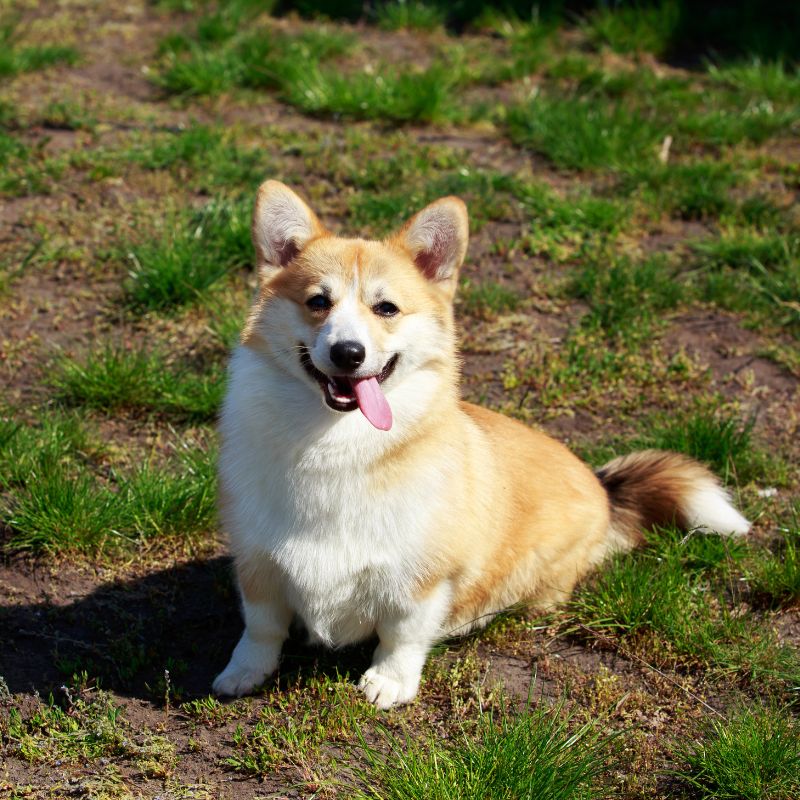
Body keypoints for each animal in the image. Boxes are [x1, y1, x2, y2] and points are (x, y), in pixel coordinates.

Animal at [212, 181, 752, 708]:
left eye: (386, 308)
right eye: (317, 302)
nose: (349, 353)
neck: (335, 442)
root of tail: (603, 488)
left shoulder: (422, 579)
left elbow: (401, 635)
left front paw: (390, 683)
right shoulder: (258, 563)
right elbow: (261, 628)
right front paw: (243, 673)